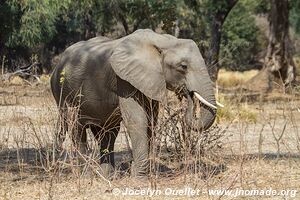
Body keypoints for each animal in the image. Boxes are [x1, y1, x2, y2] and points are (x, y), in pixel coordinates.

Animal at [50, 29, 219, 178]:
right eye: (183, 66)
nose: (188, 93)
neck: (162, 40)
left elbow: (151, 121)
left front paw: (141, 172)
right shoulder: (123, 81)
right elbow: (137, 120)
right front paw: (139, 177)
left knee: (108, 134)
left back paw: (108, 176)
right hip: (61, 92)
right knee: (76, 129)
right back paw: (87, 175)